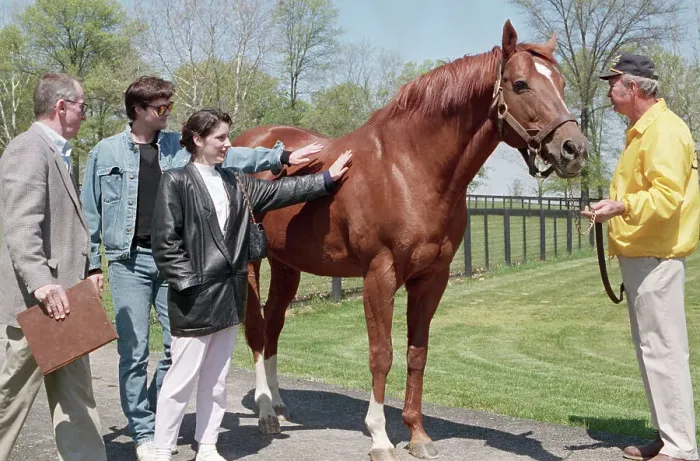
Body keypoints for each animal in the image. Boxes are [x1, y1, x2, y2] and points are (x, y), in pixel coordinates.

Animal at [233, 20, 588, 461]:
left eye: (560, 82)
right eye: (520, 84)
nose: (574, 149)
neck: (409, 169)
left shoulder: (432, 279)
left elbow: (417, 353)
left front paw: (417, 434)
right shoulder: (379, 276)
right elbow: (381, 355)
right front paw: (380, 438)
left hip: (286, 267)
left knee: (274, 326)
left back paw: (280, 405)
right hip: (251, 266)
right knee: (256, 330)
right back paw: (266, 412)